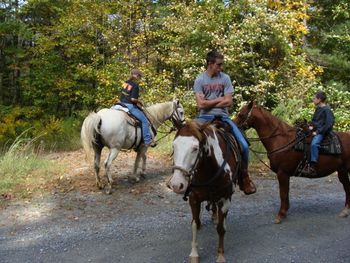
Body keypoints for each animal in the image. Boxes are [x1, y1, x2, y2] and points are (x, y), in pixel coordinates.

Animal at [167, 121, 241, 263]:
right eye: (174, 146)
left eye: (195, 148)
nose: (176, 184)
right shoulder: (193, 198)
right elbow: (195, 224)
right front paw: (194, 254)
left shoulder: (225, 199)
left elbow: (221, 228)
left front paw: (220, 255)